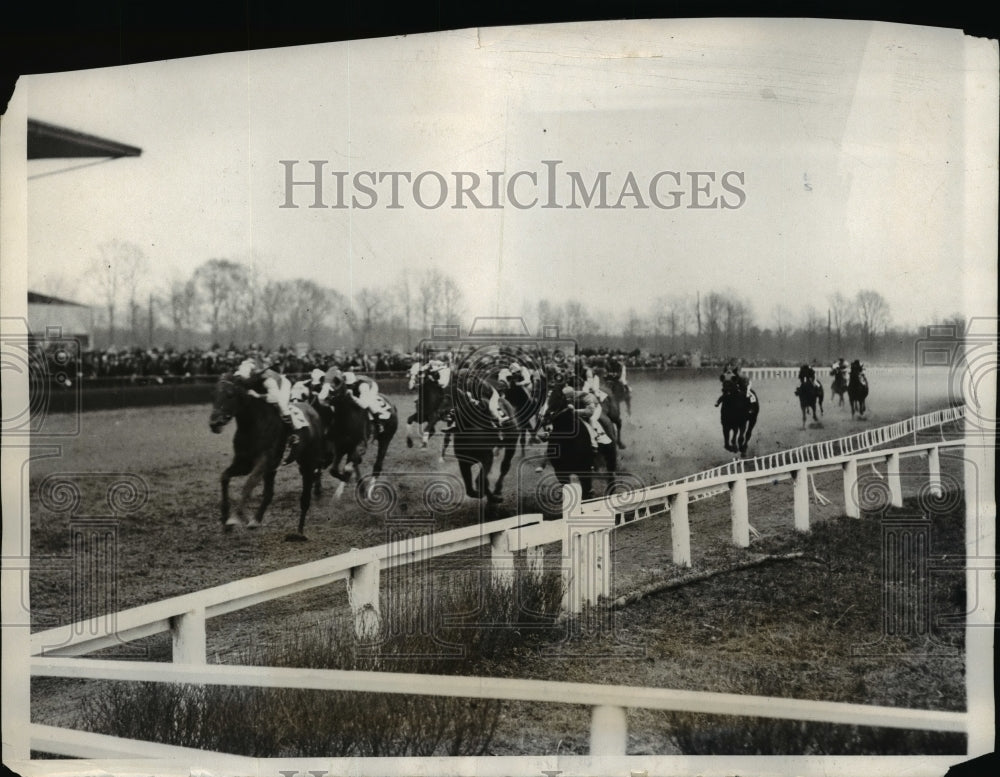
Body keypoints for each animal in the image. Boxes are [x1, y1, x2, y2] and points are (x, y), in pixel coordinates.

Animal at [208, 372, 324, 536]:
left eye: (230, 395)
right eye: (213, 394)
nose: (214, 424)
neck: (253, 425)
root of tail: (312, 409)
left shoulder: (264, 461)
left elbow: (249, 483)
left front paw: (235, 517)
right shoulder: (243, 463)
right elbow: (224, 477)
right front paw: (225, 518)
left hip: (307, 461)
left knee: (305, 495)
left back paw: (300, 531)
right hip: (273, 469)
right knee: (269, 493)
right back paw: (256, 520)